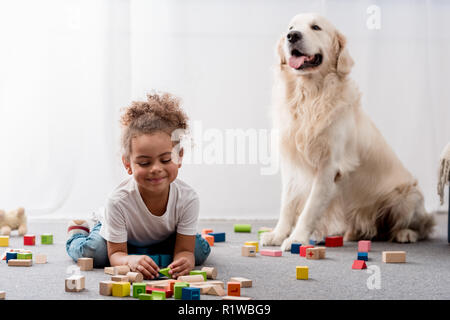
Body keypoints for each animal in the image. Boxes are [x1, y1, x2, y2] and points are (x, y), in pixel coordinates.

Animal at [262, 13, 434, 250]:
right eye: (290, 27)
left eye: (316, 27)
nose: (292, 36)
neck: (310, 95)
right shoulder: (291, 164)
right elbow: (287, 204)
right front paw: (278, 234)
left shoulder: (329, 167)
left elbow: (310, 208)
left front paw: (296, 239)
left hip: (407, 196)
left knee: (424, 226)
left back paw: (405, 233)